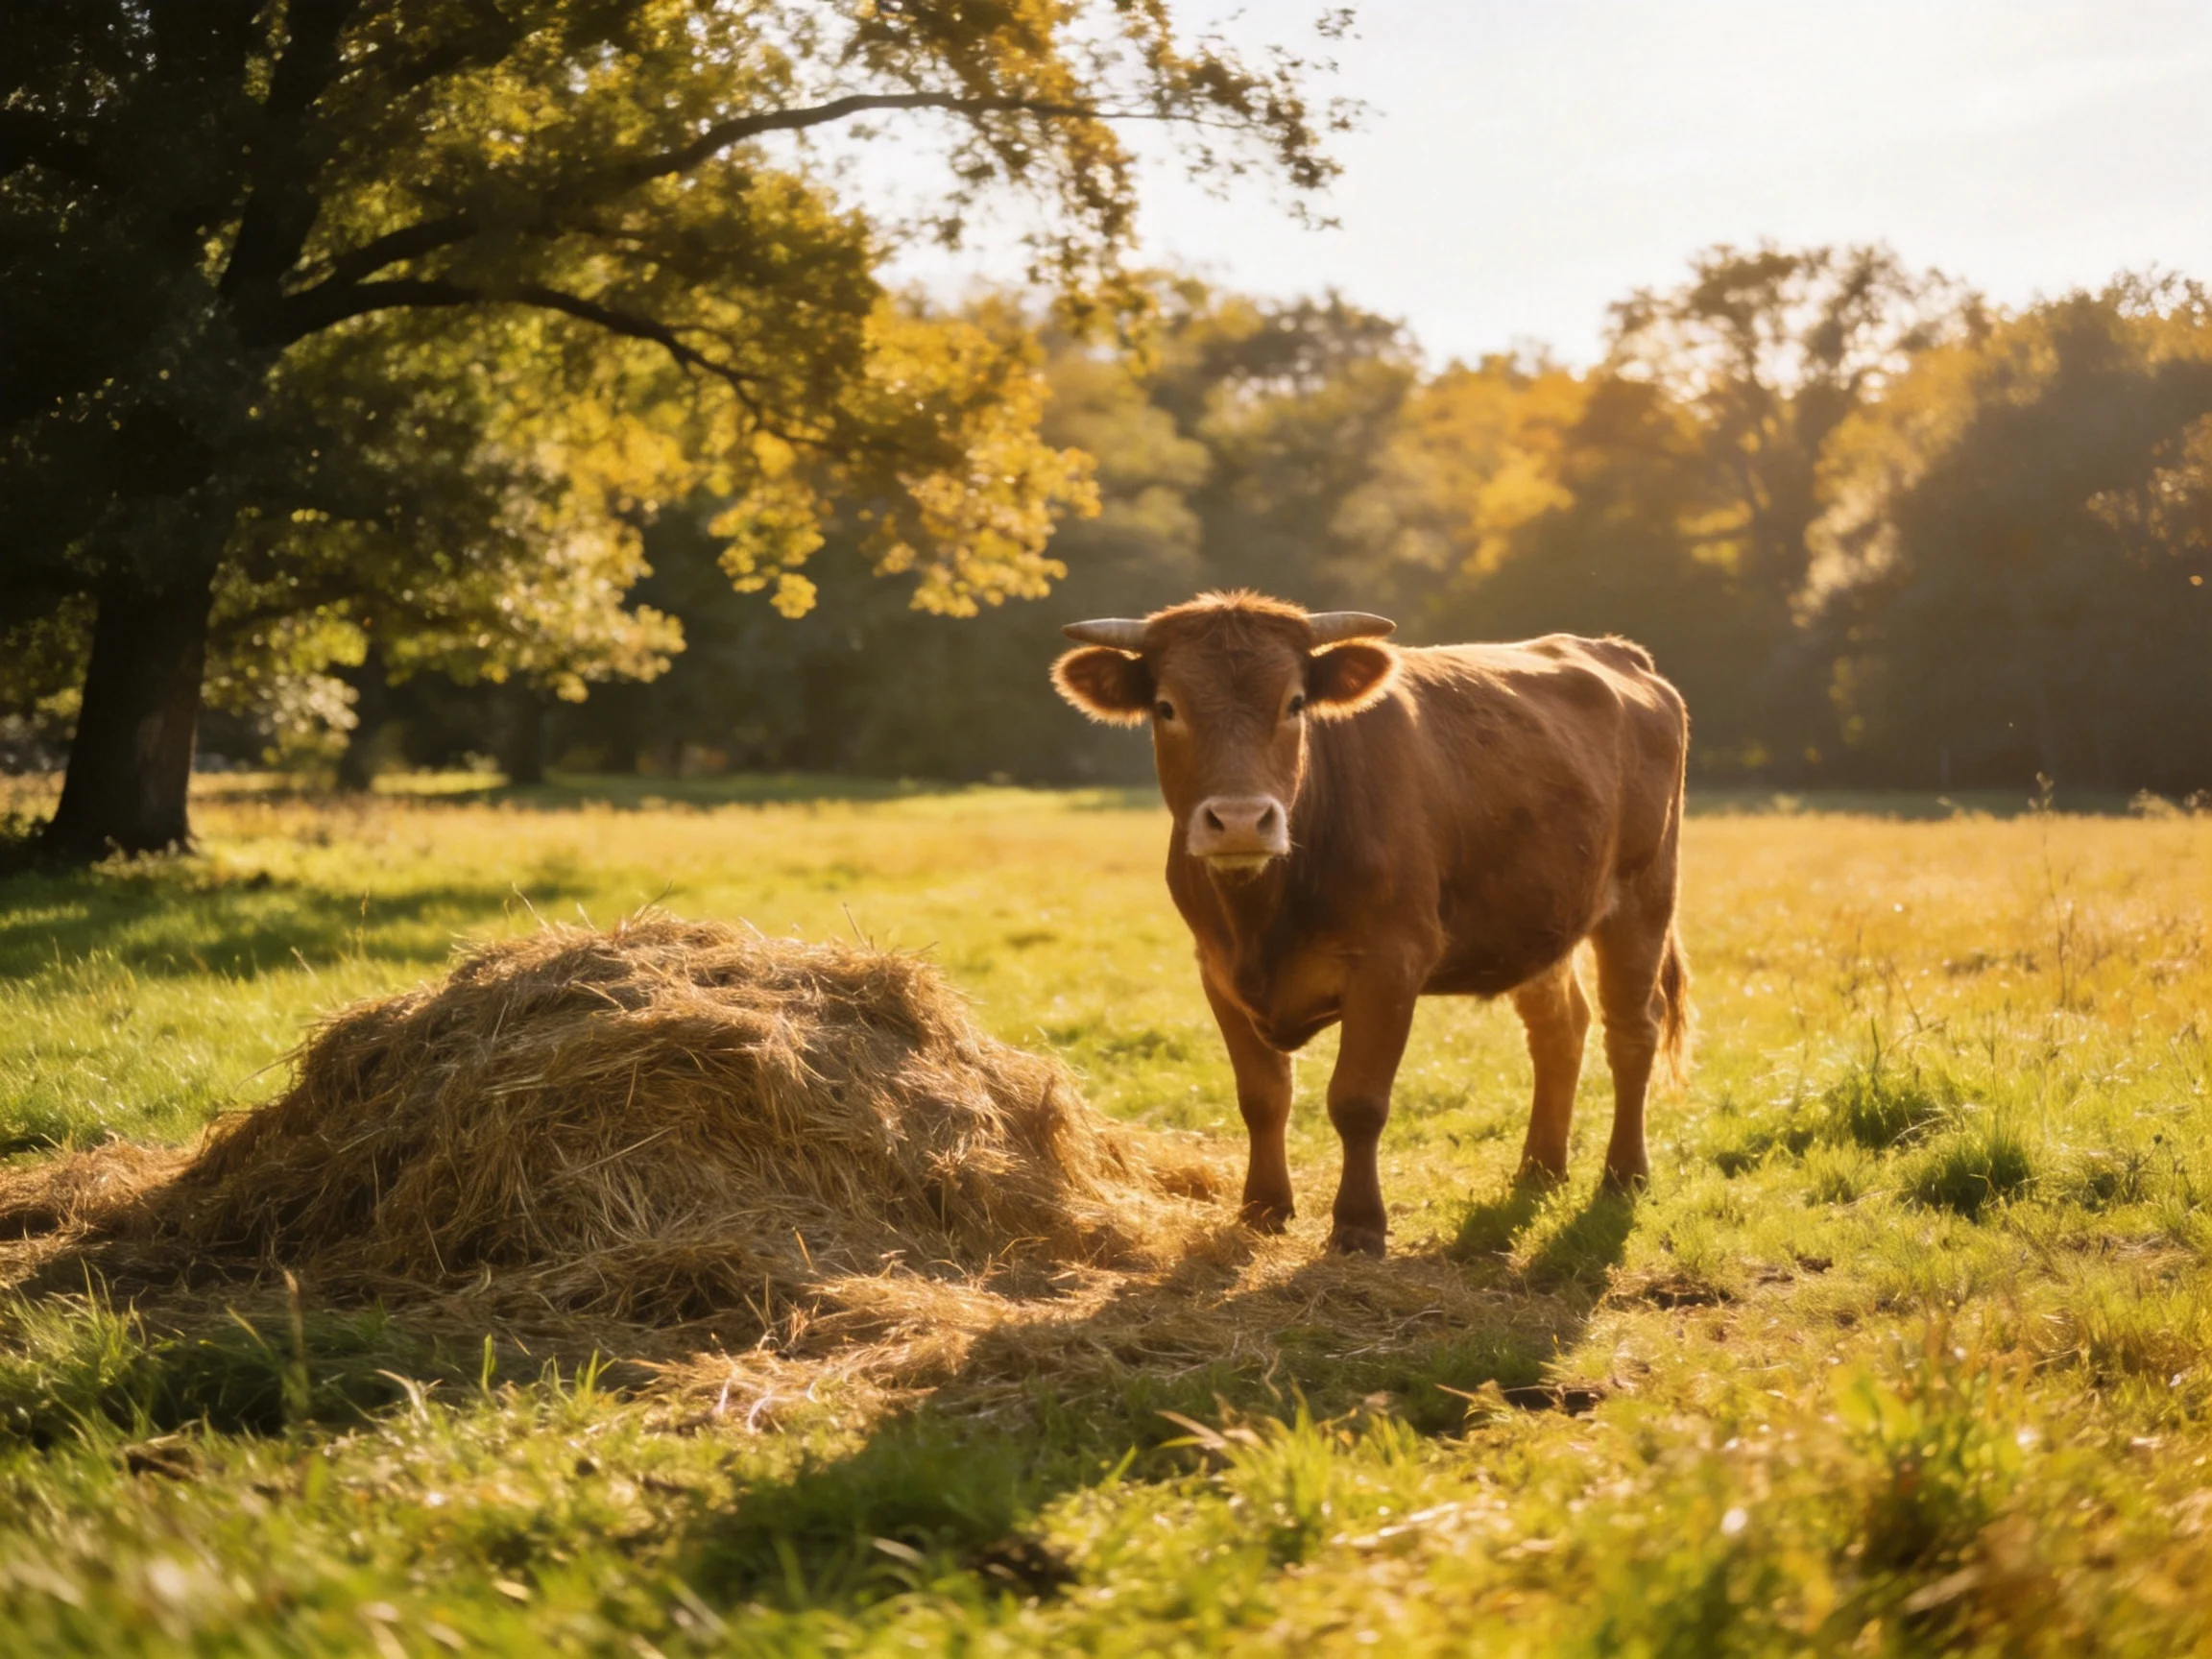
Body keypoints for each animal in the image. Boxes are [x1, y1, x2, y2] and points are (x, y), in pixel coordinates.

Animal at [1051, 590, 1689, 1255]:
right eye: (1166, 706)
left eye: (1295, 703)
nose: (1241, 820)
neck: (1263, 917)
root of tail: (1617, 651)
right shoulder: (1217, 968)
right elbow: (1262, 1096)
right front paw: (1263, 1206)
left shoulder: (1391, 962)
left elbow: (1357, 1100)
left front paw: (1358, 1223)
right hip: (1540, 917)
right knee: (1559, 1029)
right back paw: (1539, 1169)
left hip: (1643, 897)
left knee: (1632, 1031)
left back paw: (1623, 1175)